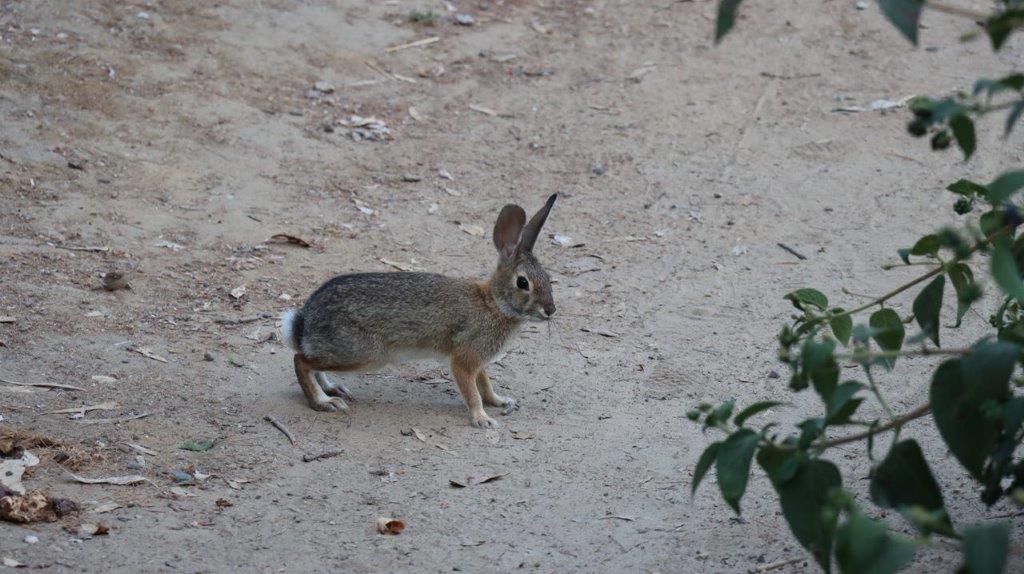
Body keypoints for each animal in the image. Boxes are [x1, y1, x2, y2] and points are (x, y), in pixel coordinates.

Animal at [282, 194, 561, 427]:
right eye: (523, 283)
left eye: (547, 278)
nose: (551, 310)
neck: (494, 303)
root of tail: (305, 323)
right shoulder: (464, 358)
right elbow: (472, 391)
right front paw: (483, 419)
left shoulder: (479, 361)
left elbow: (485, 384)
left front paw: (500, 401)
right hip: (363, 353)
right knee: (301, 361)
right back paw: (324, 402)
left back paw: (332, 389)